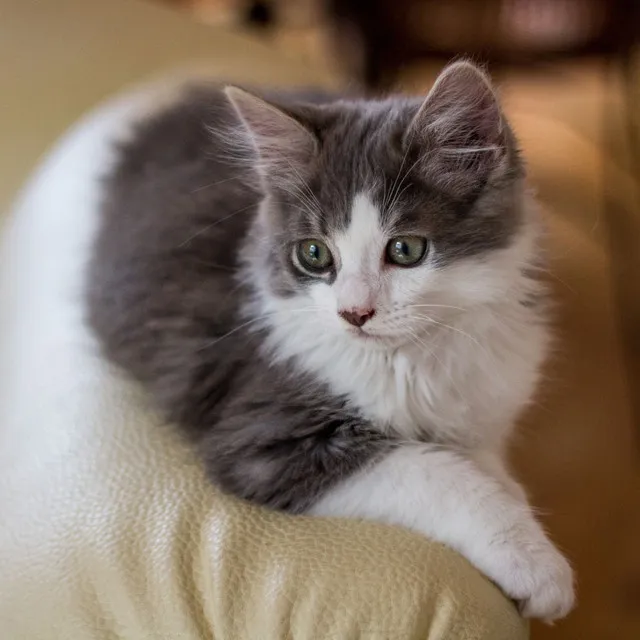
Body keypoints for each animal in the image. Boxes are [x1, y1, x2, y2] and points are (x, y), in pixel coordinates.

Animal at [86, 61, 576, 620]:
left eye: (405, 249)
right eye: (315, 254)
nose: (354, 313)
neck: (412, 357)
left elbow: (486, 466)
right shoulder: (268, 444)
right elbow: (439, 475)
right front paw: (535, 564)